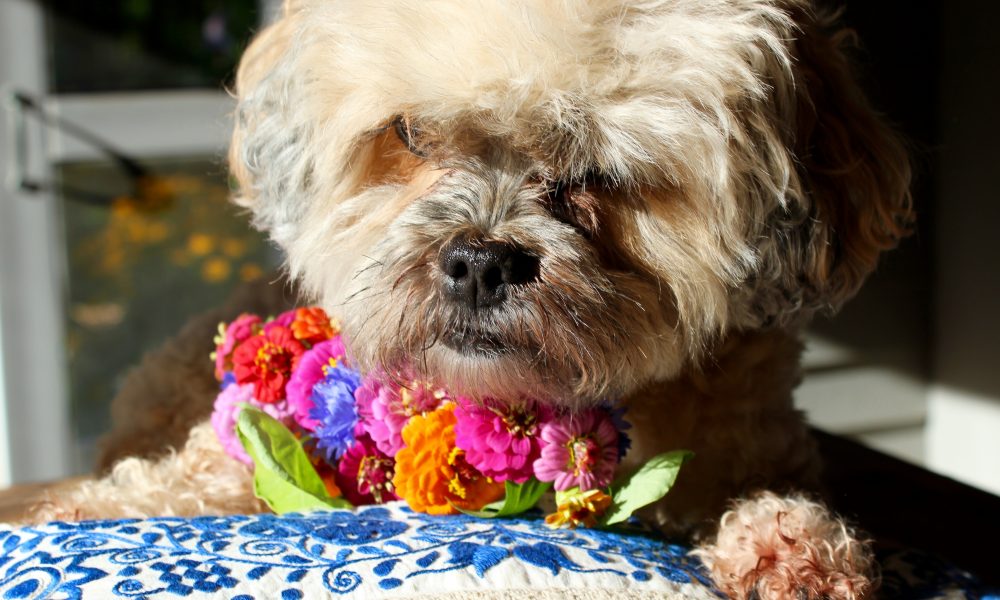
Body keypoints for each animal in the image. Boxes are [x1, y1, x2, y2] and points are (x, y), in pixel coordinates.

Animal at [31, 1, 911, 598]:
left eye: (602, 169)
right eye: (409, 134)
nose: (481, 263)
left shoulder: (751, 440)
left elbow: (764, 493)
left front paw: (791, 544)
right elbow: (202, 472)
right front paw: (83, 507)